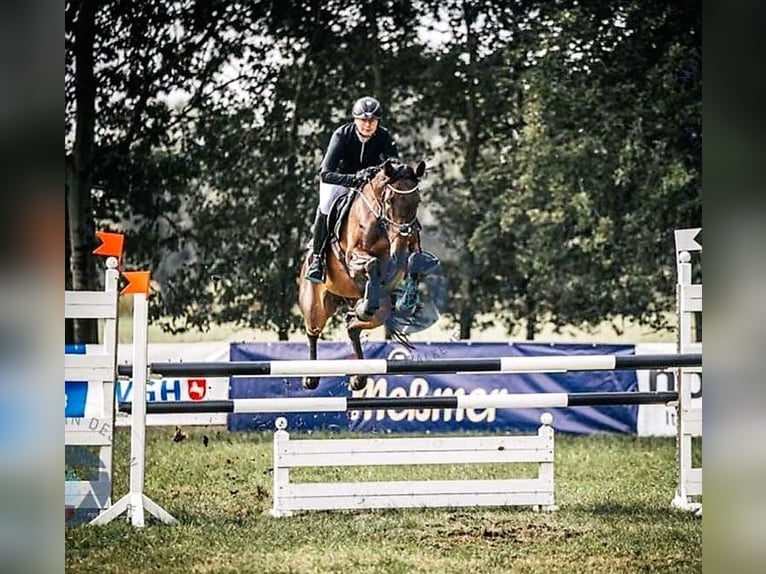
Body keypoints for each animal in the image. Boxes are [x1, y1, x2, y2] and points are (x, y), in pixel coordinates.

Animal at [296, 158, 426, 392]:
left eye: (417, 200)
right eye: (390, 200)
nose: (401, 242)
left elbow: (412, 260)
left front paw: (407, 300)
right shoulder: (353, 256)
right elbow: (372, 263)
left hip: (376, 309)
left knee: (353, 325)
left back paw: (359, 376)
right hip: (316, 304)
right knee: (313, 330)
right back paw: (311, 377)